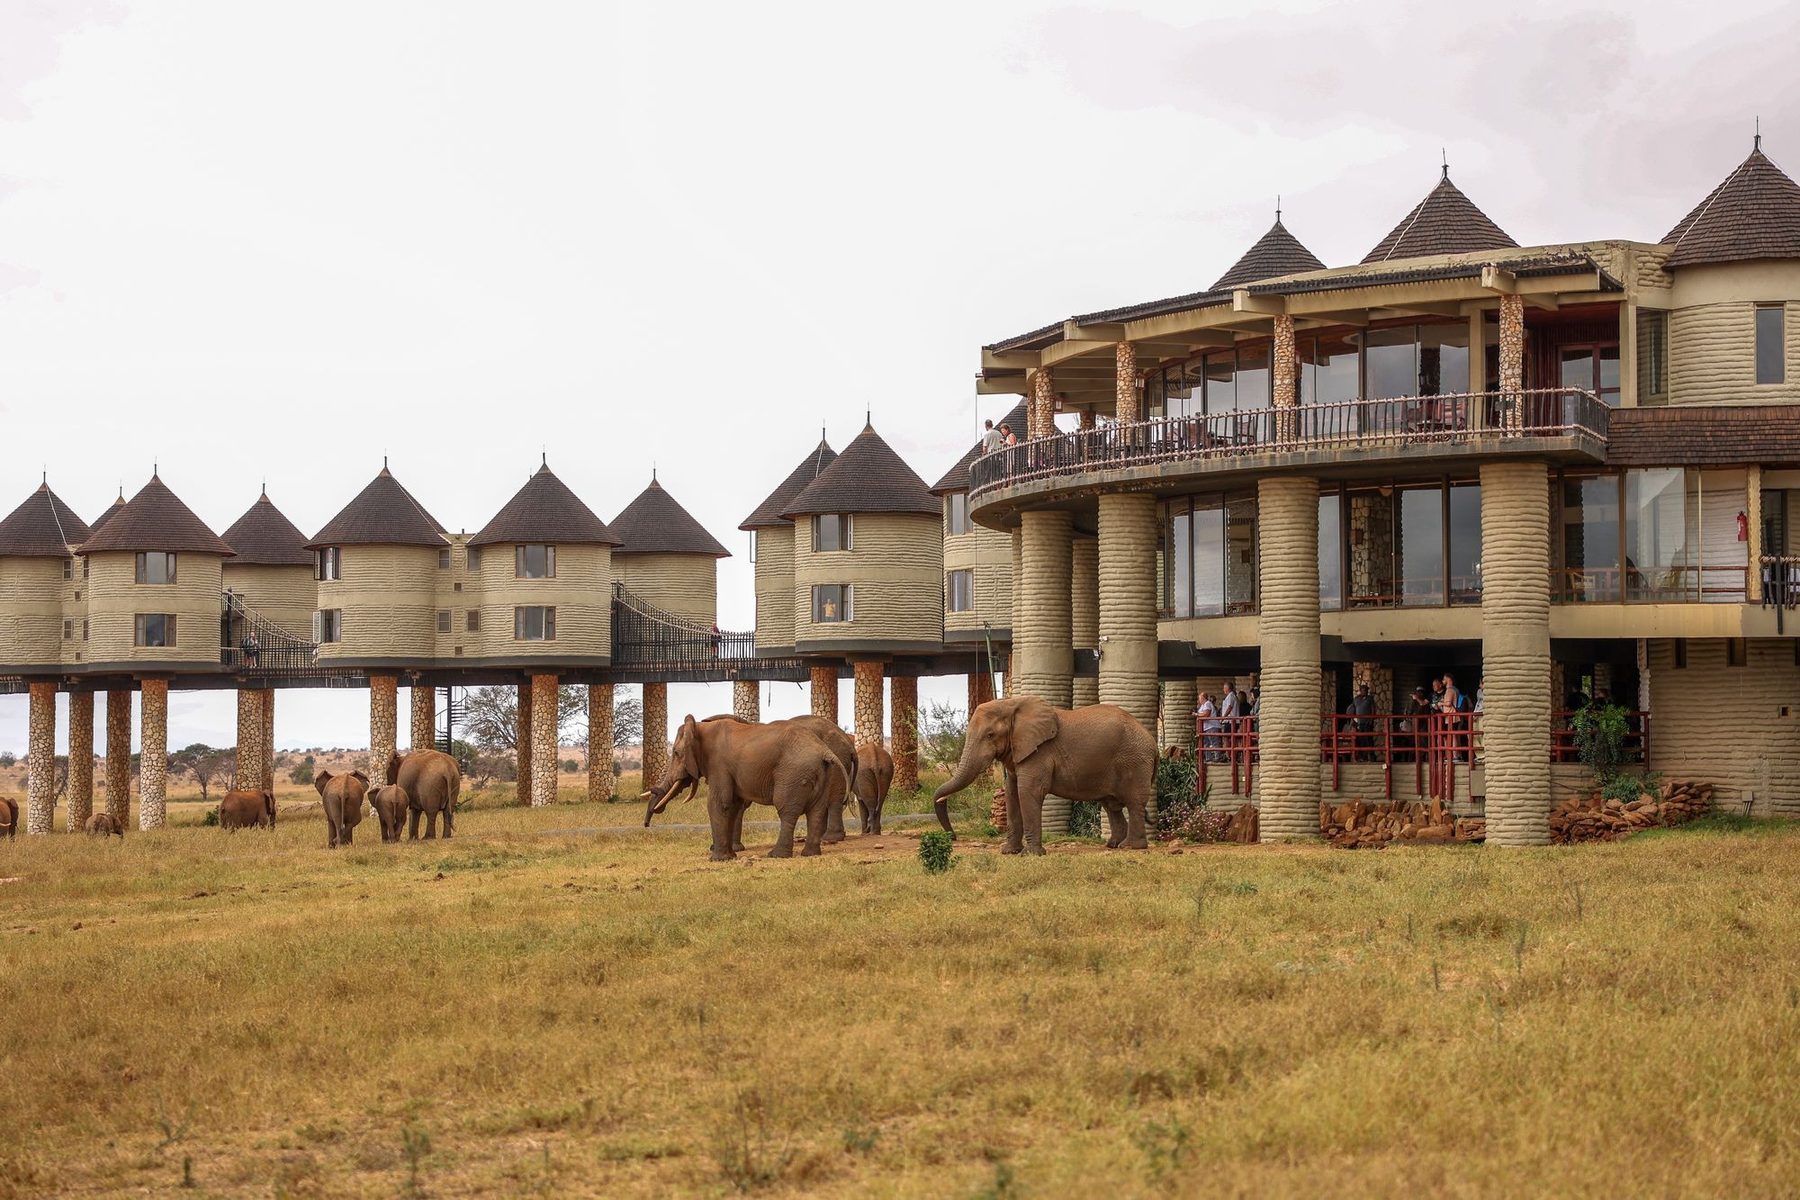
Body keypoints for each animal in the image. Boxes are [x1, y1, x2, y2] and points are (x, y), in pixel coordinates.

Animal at [643, 713, 848, 860]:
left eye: (677, 753)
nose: (646, 825)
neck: (700, 727)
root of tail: (824, 751)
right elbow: (732, 807)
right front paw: (730, 856)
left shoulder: (719, 765)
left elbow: (718, 804)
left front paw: (718, 859)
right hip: (822, 772)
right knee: (816, 811)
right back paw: (810, 854)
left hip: (793, 773)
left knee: (786, 810)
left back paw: (776, 855)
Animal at [933, 697, 1155, 856]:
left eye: (990, 735)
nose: (952, 836)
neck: (1011, 703)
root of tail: (1152, 741)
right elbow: (1012, 793)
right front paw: (1008, 852)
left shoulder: (1039, 752)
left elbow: (1028, 792)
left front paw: (1030, 854)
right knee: (1111, 805)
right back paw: (1113, 845)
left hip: (1135, 762)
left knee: (1134, 803)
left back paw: (1130, 847)